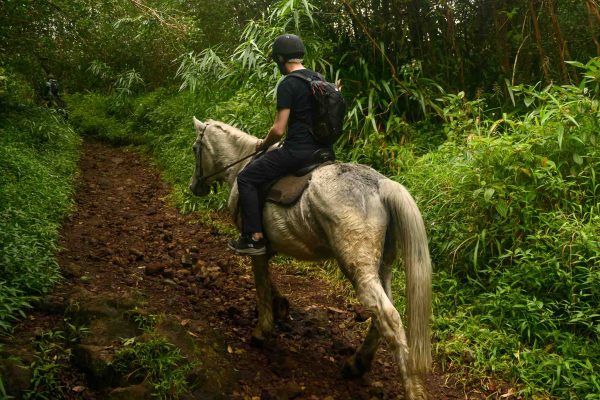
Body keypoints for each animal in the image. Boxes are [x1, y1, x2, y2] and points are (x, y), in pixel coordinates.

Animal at [188, 117, 432, 398]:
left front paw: (262, 330)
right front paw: (281, 305)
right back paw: (356, 364)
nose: (194, 187)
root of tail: (380, 186)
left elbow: (261, 283)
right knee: (381, 315)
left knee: (388, 316)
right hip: (383, 265)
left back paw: (411, 388)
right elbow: (268, 279)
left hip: (359, 266)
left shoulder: (254, 245)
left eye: (195, 149)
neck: (241, 163)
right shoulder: (268, 248)